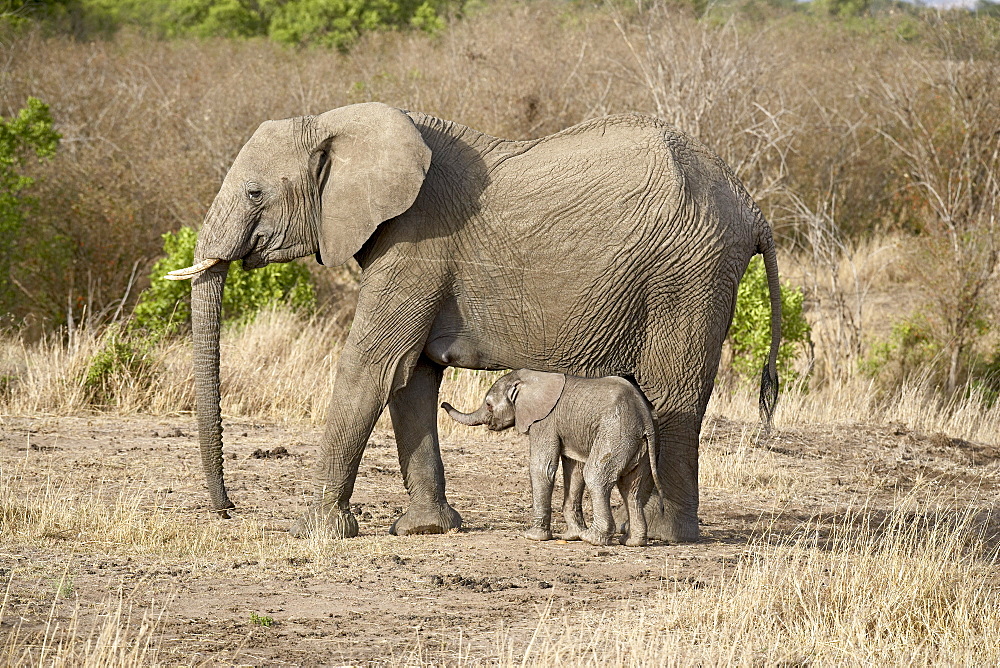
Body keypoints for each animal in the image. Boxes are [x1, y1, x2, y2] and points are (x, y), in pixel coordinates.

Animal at [444, 368, 664, 544]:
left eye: (489, 404)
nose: (442, 403)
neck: (531, 378)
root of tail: (644, 416)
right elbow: (574, 471)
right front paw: (571, 536)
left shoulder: (544, 421)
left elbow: (542, 468)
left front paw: (533, 536)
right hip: (638, 442)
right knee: (631, 487)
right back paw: (633, 542)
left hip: (616, 432)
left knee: (595, 476)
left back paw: (593, 539)